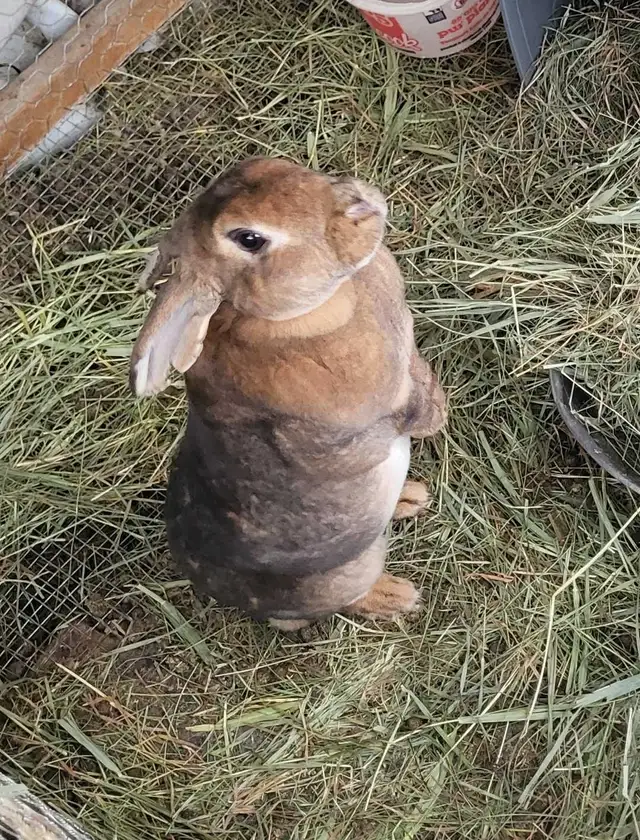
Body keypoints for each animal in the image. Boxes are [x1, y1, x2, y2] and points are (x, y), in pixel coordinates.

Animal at [130, 158, 446, 629]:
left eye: (267, 164)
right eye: (249, 238)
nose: (361, 204)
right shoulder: (381, 409)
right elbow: (406, 413)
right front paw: (438, 415)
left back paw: (412, 497)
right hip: (350, 572)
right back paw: (399, 596)